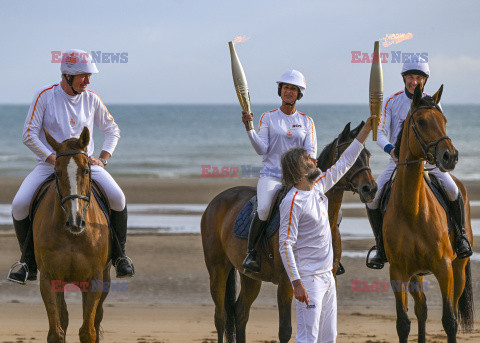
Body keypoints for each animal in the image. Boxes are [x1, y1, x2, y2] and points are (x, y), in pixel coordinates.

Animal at [35, 127, 111, 343]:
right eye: (56, 172)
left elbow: (88, 331)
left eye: (86, 170)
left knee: (97, 317)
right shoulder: (49, 278)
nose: (75, 221)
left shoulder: (94, 279)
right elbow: (56, 332)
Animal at [201, 121, 376, 343]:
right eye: (348, 154)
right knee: (221, 317)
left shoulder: (331, 279)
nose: (370, 189)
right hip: (218, 270)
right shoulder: (286, 283)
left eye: (368, 154)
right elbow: (285, 330)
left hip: (250, 277)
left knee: (240, 313)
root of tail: (215, 202)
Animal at [384, 84, 474, 343]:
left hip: (459, 269)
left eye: (443, 120)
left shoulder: (444, 268)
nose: (450, 156)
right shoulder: (399, 272)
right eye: (422, 122)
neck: (412, 209)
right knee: (421, 309)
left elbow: (450, 321)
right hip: (417, 275)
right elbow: (403, 323)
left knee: (452, 306)